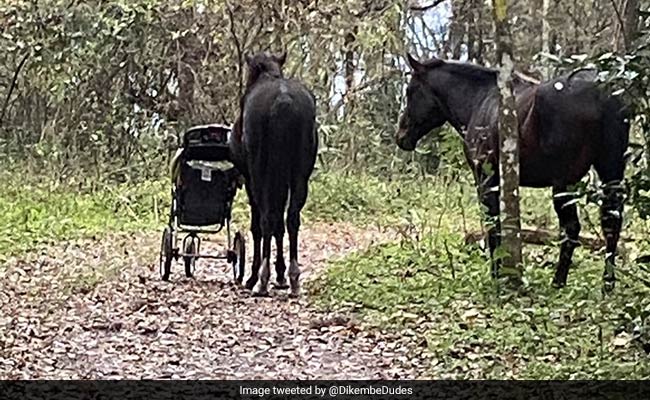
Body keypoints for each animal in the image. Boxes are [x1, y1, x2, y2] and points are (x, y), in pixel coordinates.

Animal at [229, 52, 318, 297]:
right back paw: (294, 278)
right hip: (298, 174)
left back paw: (261, 279)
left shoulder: (251, 179)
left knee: (266, 219)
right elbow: (281, 222)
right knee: (291, 218)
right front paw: (281, 274)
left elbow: (259, 225)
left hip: (260, 172)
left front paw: (254, 276)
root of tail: (283, 100)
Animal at [396, 54, 630, 290]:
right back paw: (607, 283)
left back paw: (559, 281)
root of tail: (602, 93)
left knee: (572, 227)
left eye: (410, 90)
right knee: (611, 222)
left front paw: (497, 274)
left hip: (565, 180)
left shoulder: (486, 177)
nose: (401, 136)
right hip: (610, 170)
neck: (478, 100)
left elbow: (492, 225)